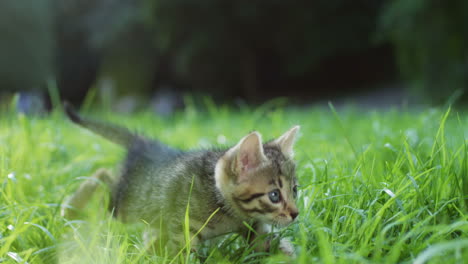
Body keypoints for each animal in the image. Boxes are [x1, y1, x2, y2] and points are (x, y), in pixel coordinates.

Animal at [61, 103, 300, 256]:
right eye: (274, 195)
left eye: (295, 190)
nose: (296, 214)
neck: (227, 210)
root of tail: (145, 144)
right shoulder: (184, 227)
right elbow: (185, 253)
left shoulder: (254, 227)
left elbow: (271, 246)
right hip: (125, 205)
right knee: (103, 176)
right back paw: (71, 207)